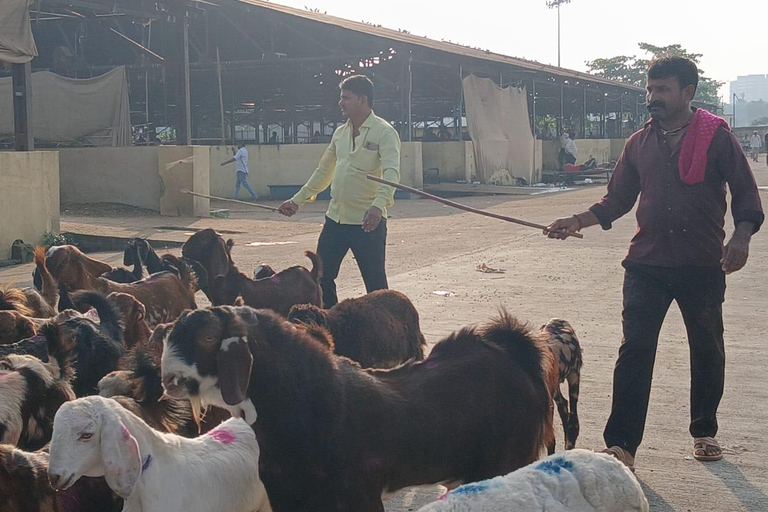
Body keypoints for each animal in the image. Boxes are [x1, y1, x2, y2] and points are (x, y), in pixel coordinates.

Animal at [162, 306, 556, 510]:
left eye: (208, 337)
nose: (169, 378)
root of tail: (517, 357)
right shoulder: (287, 496)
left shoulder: (359, 496)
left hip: (508, 461)